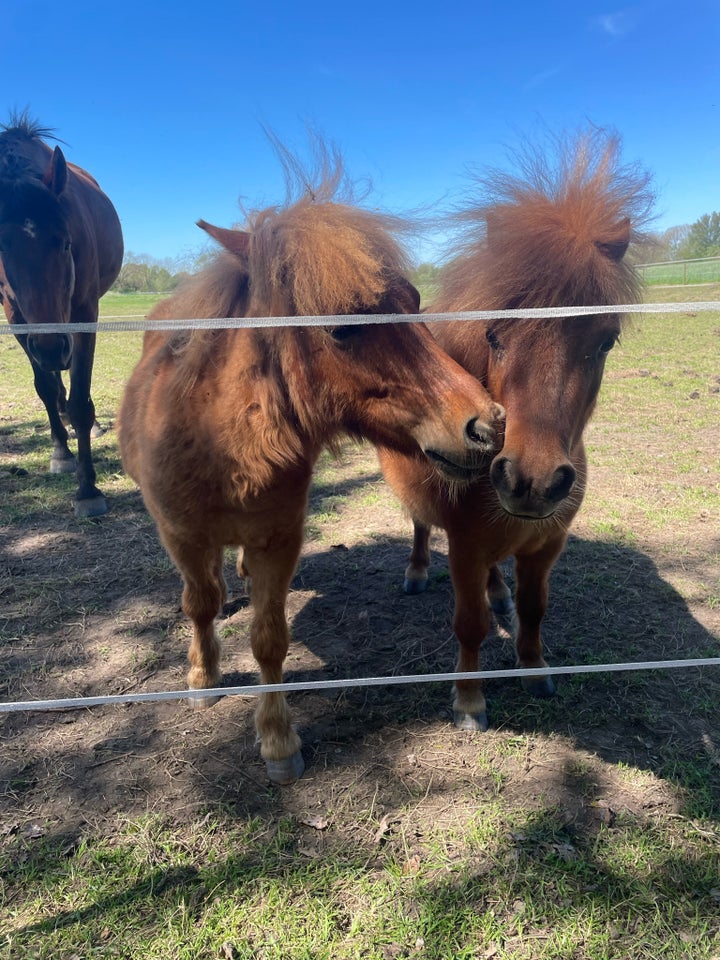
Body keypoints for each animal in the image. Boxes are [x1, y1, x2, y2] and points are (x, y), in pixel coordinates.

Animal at [0, 112, 123, 516]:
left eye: (66, 242)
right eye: (1, 251)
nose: (53, 348)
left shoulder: (84, 312)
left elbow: (81, 401)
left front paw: (88, 489)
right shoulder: (18, 319)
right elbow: (45, 386)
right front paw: (61, 453)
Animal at [118, 158, 504, 784]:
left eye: (415, 300)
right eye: (341, 326)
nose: (488, 424)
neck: (219, 445)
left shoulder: (279, 540)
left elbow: (269, 640)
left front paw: (278, 740)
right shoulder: (179, 535)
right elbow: (199, 604)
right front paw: (203, 677)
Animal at [380, 127, 656, 728]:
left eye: (606, 340)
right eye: (493, 335)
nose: (531, 480)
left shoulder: (546, 546)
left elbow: (534, 608)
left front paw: (534, 669)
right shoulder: (463, 547)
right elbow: (470, 624)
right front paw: (468, 699)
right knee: (419, 524)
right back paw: (416, 573)